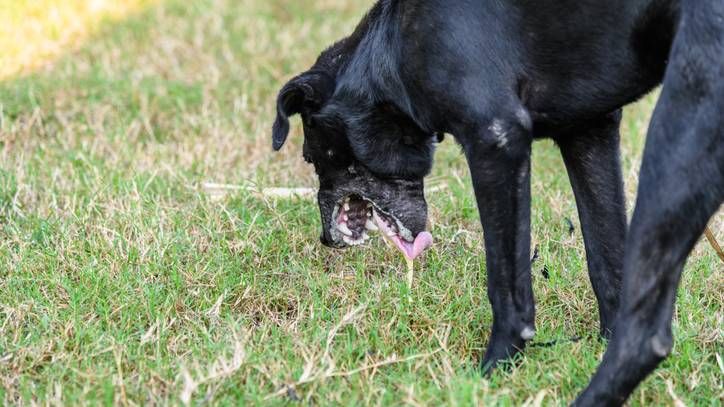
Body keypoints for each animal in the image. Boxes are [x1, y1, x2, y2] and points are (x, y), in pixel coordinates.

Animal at [272, 1, 724, 406]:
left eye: (311, 157)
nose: (325, 239)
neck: (391, 49)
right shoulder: (589, 132)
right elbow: (607, 262)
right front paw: (600, 342)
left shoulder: (496, 141)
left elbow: (506, 285)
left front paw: (493, 371)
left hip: (678, 130)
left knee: (647, 335)